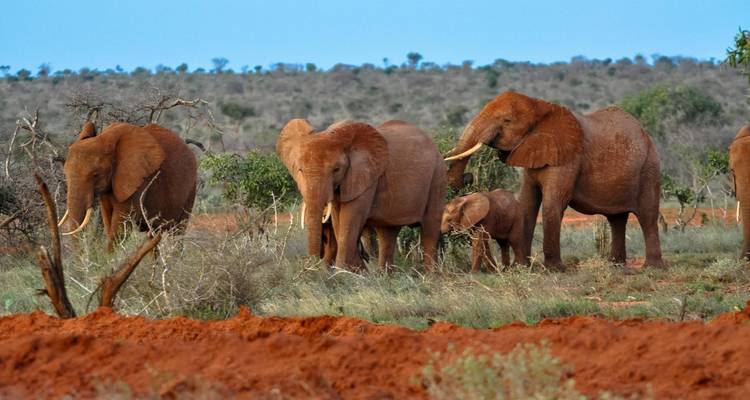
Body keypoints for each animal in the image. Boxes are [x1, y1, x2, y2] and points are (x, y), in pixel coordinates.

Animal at [59, 122, 198, 250]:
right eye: (65, 173)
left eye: (95, 175)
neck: (105, 139)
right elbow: (108, 222)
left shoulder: (137, 181)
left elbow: (120, 227)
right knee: (152, 236)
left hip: (191, 189)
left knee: (178, 233)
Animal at [277, 119, 445, 270]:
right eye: (300, 170)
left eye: (336, 169)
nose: (312, 267)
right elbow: (338, 221)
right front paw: (356, 271)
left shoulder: (366, 178)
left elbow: (350, 218)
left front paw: (343, 273)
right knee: (387, 233)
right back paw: (384, 277)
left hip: (437, 175)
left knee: (430, 229)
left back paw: (430, 278)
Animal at [445, 91, 664, 269]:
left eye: (507, 120)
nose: (468, 177)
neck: (540, 107)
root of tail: (644, 132)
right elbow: (528, 202)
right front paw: (521, 266)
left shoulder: (568, 158)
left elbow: (553, 202)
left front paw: (553, 269)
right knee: (617, 219)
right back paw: (616, 265)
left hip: (649, 168)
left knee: (647, 216)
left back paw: (651, 267)